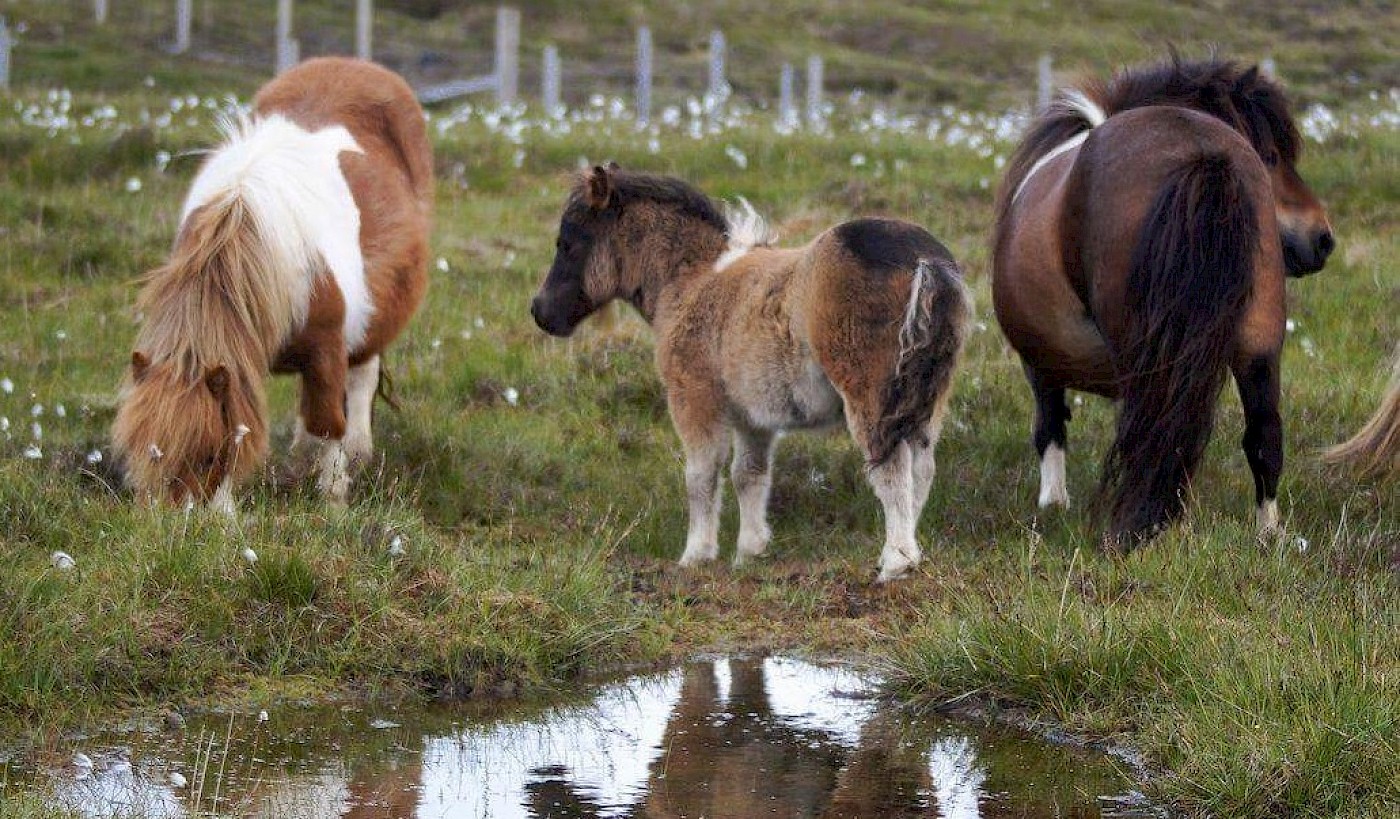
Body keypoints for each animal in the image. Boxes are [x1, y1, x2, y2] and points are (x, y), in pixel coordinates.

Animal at [112, 57, 431, 506]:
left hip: (372, 322)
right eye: (144, 451)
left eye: (208, 456)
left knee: (360, 379)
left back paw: (357, 449)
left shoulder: (327, 349)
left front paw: (333, 497)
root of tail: (357, 64)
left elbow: (328, 422)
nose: (170, 520)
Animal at [996, 57, 1332, 543]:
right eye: (1270, 155)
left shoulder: (1038, 361)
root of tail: (1202, 153)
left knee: (1151, 433)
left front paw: (1053, 504)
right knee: (1261, 435)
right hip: (1261, 340)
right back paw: (1268, 534)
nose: (1322, 239)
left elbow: (1050, 425)